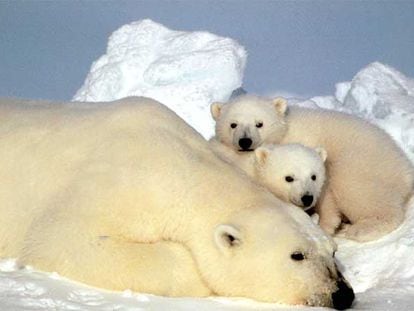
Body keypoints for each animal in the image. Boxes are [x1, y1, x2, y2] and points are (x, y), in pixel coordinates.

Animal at [212, 95, 414, 244]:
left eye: (259, 123)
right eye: (233, 124)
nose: (245, 141)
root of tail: (405, 167)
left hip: (362, 162)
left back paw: (360, 229)